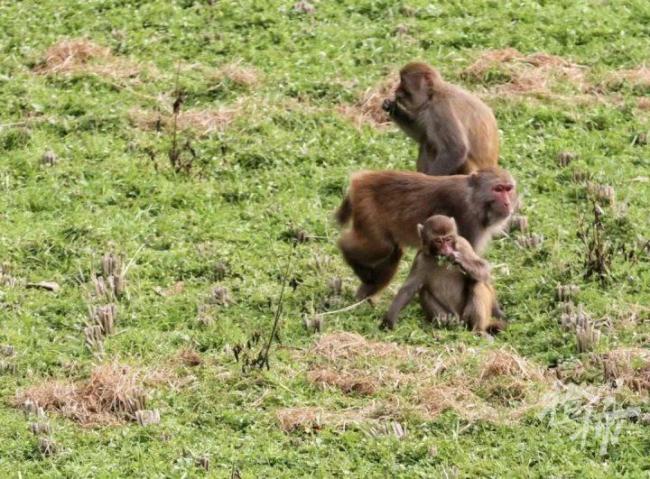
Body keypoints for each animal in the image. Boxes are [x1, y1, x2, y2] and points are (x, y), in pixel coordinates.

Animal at [334, 169, 516, 300]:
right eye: (498, 189)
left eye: (508, 189)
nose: (508, 203)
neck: (474, 199)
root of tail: (360, 179)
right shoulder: (468, 219)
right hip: (367, 207)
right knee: (381, 247)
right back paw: (346, 250)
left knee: (393, 251)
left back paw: (366, 292)